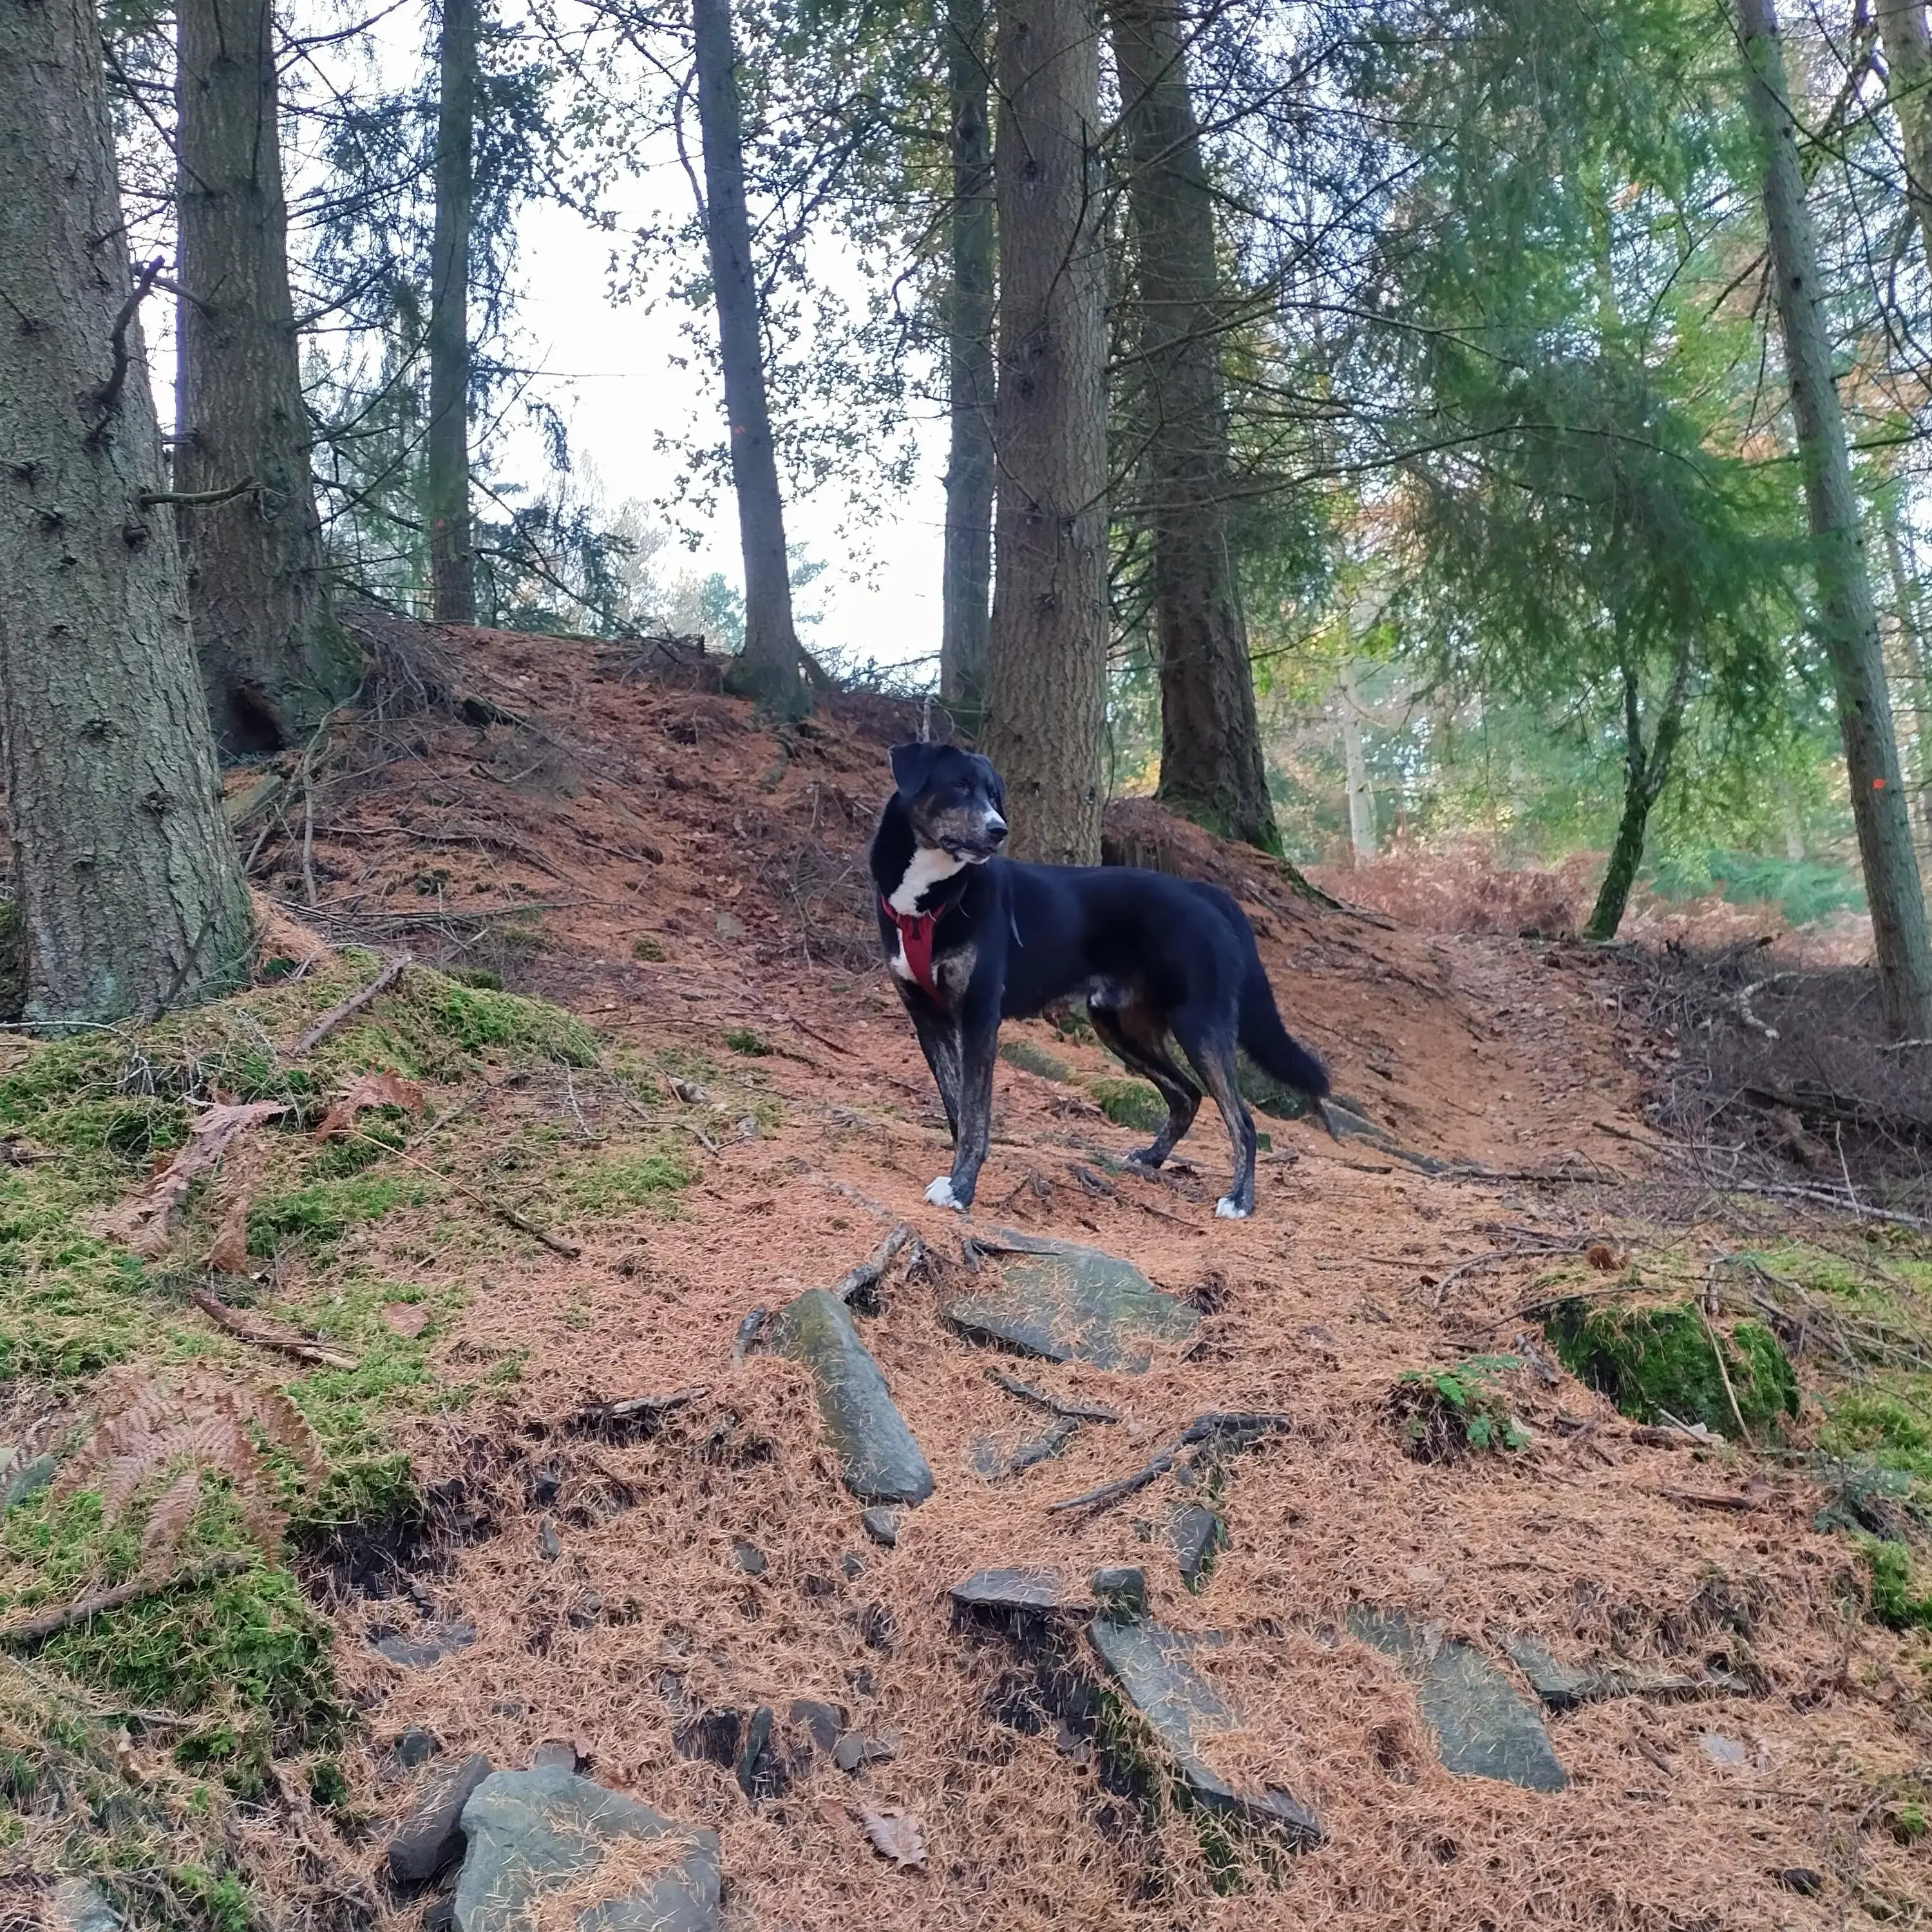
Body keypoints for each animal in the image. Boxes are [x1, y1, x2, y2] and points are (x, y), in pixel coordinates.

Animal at [873, 742, 1329, 1213]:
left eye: (993, 795)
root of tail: (1204, 892)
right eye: (960, 786)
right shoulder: (928, 1018)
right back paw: (1150, 1159)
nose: (999, 830)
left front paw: (962, 1188)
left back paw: (1239, 1200)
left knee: (1242, 1120)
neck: (929, 902)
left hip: (1199, 1023)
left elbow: (975, 1115)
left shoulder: (980, 1017)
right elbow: (957, 1109)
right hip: (1121, 1027)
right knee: (1186, 1095)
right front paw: (956, 1177)